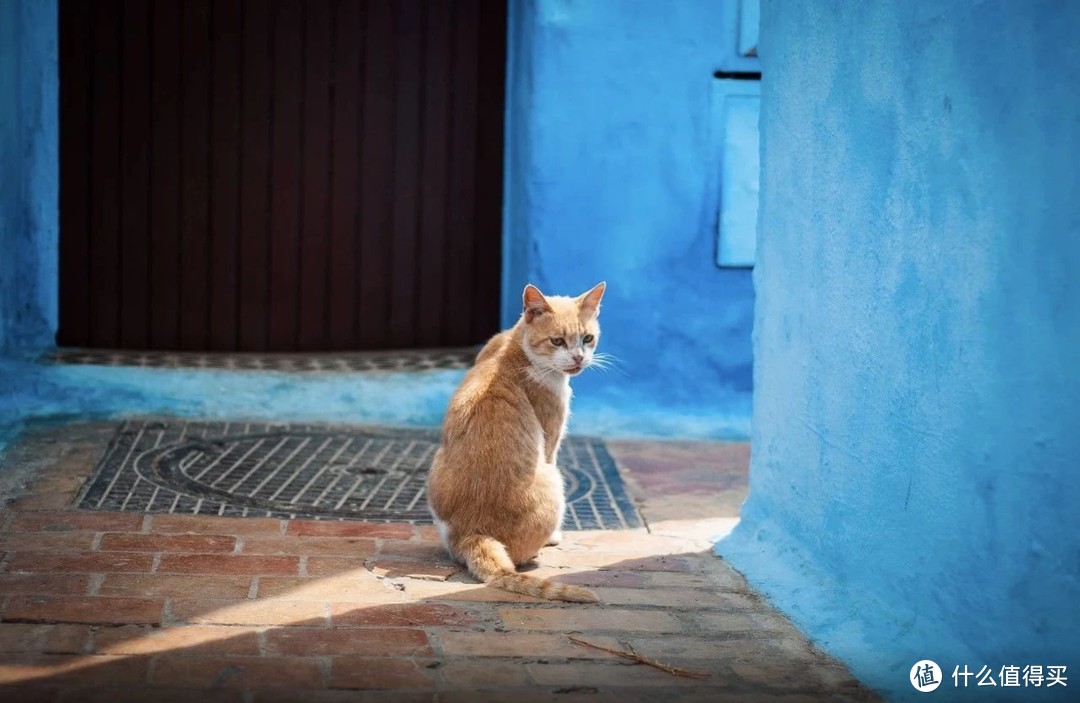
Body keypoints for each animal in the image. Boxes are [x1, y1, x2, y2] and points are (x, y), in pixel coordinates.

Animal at [425, 282, 609, 600]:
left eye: (587, 338)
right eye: (557, 341)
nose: (578, 358)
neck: (514, 348)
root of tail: (472, 532)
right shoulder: (551, 441)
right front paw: (555, 538)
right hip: (553, 478)